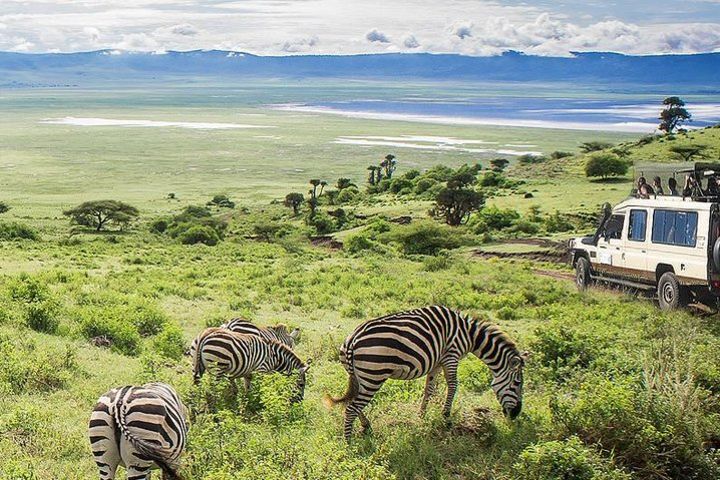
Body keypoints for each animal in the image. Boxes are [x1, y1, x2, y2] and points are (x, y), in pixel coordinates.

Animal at [324, 306, 524, 440]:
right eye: (517, 384)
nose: (515, 415)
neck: (469, 335)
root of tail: (352, 340)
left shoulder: (437, 363)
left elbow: (429, 389)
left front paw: (421, 415)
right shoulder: (451, 355)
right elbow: (453, 386)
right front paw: (446, 417)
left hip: (360, 377)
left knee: (353, 403)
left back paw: (366, 426)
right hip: (374, 376)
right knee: (351, 408)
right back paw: (349, 444)